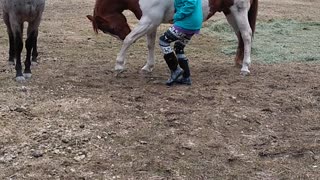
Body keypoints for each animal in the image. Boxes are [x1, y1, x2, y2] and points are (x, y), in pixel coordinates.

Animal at [87, 0, 258, 75]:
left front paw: (119, 65)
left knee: (246, 35)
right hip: (229, 12)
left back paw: (245, 67)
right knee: (240, 36)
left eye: (110, 28)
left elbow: (130, 39)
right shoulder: (152, 22)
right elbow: (150, 44)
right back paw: (239, 62)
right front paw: (148, 66)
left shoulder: (149, 20)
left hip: (239, 10)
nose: (121, 36)